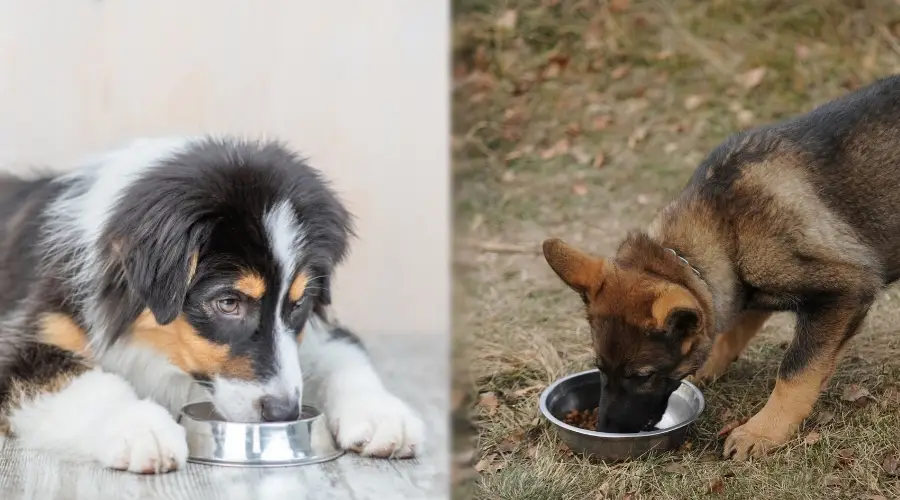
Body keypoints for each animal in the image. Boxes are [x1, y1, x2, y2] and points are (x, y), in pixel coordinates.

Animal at [0, 137, 426, 472]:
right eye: (228, 302)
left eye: (299, 302)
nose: (284, 413)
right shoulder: (25, 340)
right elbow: (87, 386)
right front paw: (143, 430)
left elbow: (340, 354)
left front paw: (382, 416)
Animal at [540, 74, 900, 460]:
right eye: (600, 369)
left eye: (643, 376)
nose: (606, 430)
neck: (725, 229)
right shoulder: (741, 291)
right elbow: (728, 332)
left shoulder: (845, 291)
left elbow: (796, 370)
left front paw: (763, 430)